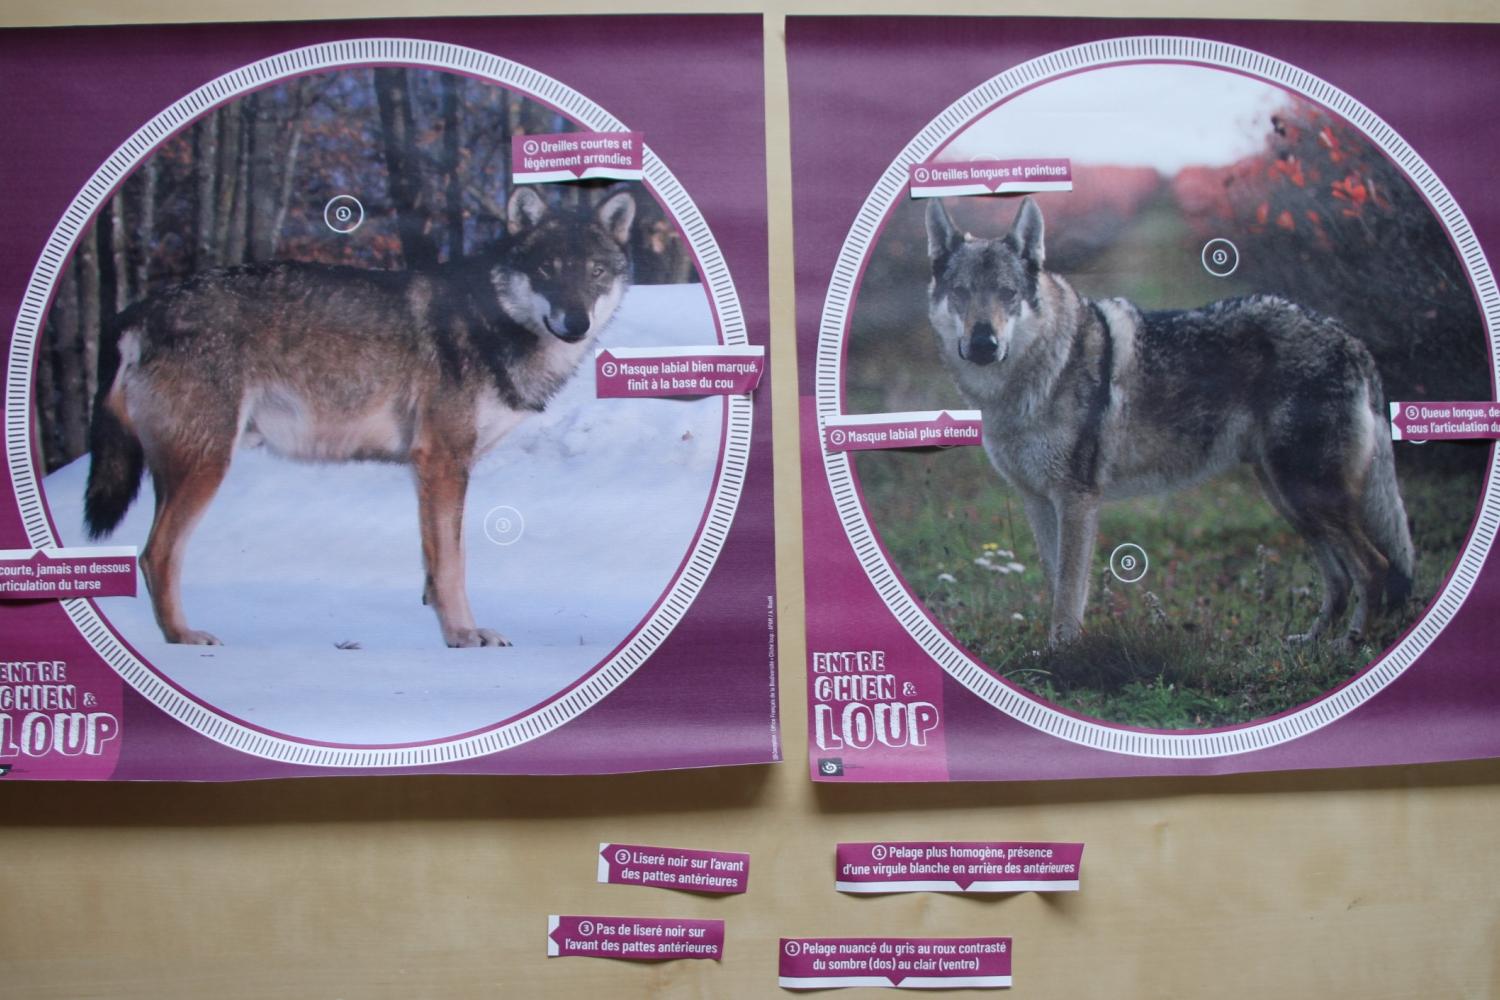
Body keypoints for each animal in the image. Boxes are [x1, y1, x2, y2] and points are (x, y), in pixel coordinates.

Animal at [83, 185, 636, 647]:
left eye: (594, 273)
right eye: (547, 270)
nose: (575, 322)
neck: (492, 321)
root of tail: (138, 311)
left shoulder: (434, 469)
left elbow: (438, 565)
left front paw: (452, 632)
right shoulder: (443, 461)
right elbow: (453, 565)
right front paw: (464, 635)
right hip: (206, 467)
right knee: (155, 555)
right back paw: (184, 638)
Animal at [925, 195, 1414, 647]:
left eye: (1007, 293)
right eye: (962, 292)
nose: (983, 343)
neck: (1024, 384)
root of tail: (1350, 338)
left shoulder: (1076, 499)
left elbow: (1068, 593)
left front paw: (1062, 655)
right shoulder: (1037, 501)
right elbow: (1056, 581)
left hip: (1307, 493)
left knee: (1375, 568)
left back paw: (1347, 646)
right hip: (1289, 498)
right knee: (1340, 577)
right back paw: (1310, 643)